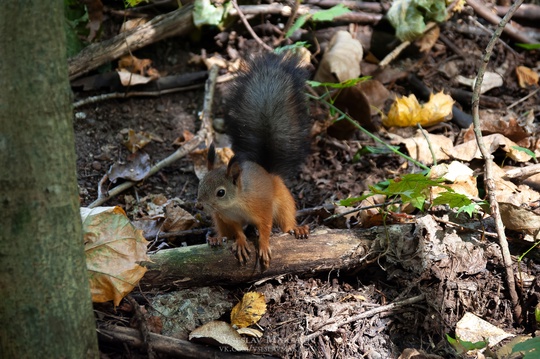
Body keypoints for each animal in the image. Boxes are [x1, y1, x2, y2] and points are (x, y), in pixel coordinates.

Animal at [196, 51, 310, 270]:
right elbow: (236, 230)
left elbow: (265, 227)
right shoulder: (228, 217)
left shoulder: (262, 208)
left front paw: (263, 245)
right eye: (200, 184)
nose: (199, 206)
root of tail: (267, 171)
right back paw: (216, 238)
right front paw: (241, 242)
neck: (235, 204)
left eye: (221, 192)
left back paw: (296, 229)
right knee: (223, 231)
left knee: (286, 219)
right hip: (218, 219)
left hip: (283, 200)